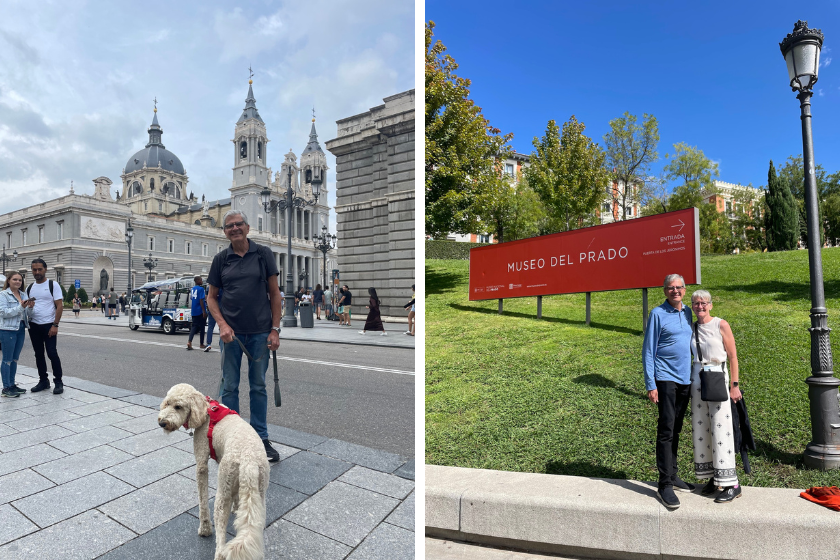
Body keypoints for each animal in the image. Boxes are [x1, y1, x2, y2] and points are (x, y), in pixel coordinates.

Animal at [158, 382, 270, 560]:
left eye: (178, 407)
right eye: (167, 403)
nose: (162, 422)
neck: (206, 412)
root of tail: (249, 461)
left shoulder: (202, 462)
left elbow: (202, 499)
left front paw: (204, 529)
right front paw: (237, 508)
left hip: (222, 493)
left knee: (221, 534)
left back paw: (219, 552)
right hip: (259, 491)